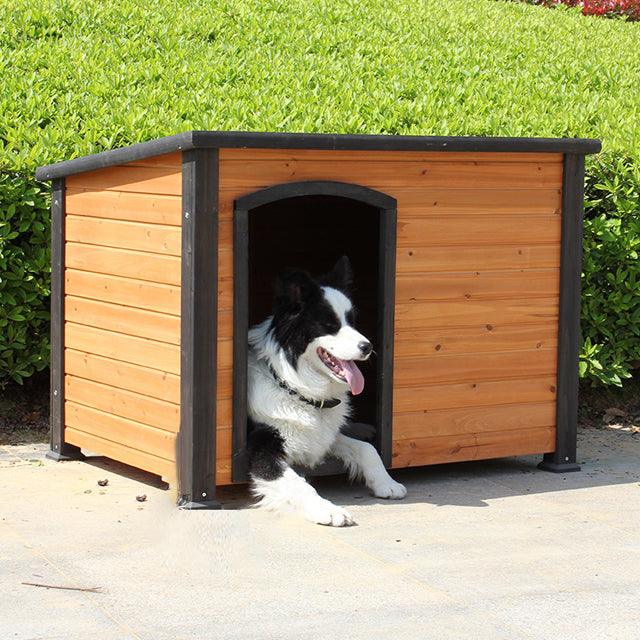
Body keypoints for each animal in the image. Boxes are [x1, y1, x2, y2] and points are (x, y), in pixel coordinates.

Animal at [245, 255, 404, 524]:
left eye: (352, 320)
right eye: (330, 325)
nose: (368, 346)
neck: (293, 387)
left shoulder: (323, 436)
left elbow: (367, 449)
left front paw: (386, 482)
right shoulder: (259, 449)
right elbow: (299, 483)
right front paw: (329, 510)